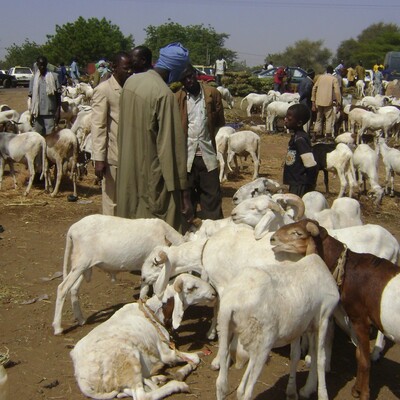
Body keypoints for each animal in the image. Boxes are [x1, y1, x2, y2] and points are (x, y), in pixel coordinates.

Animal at [50, 216, 185, 334]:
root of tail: (72, 229)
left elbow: (143, 289)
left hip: (84, 266)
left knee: (73, 289)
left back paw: (81, 320)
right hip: (81, 264)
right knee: (62, 288)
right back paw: (58, 328)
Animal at [70, 274, 217, 400]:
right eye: (191, 288)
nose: (214, 293)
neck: (153, 313)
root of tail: (83, 380)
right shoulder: (166, 353)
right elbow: (195, 358)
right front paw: (182, 372)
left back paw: (157, 378)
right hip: (129, 360)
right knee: (142, 396)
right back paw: (176, 385)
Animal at [214, 256, 340, 400]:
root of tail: (231, 303)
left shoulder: (299, 327)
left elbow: (297, 355)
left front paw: (296, 391)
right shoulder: (324, 317)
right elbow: (320, 357)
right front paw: (322, 394)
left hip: (228, 329)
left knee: (221, 383)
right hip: (265, 342)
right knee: (248, 392)